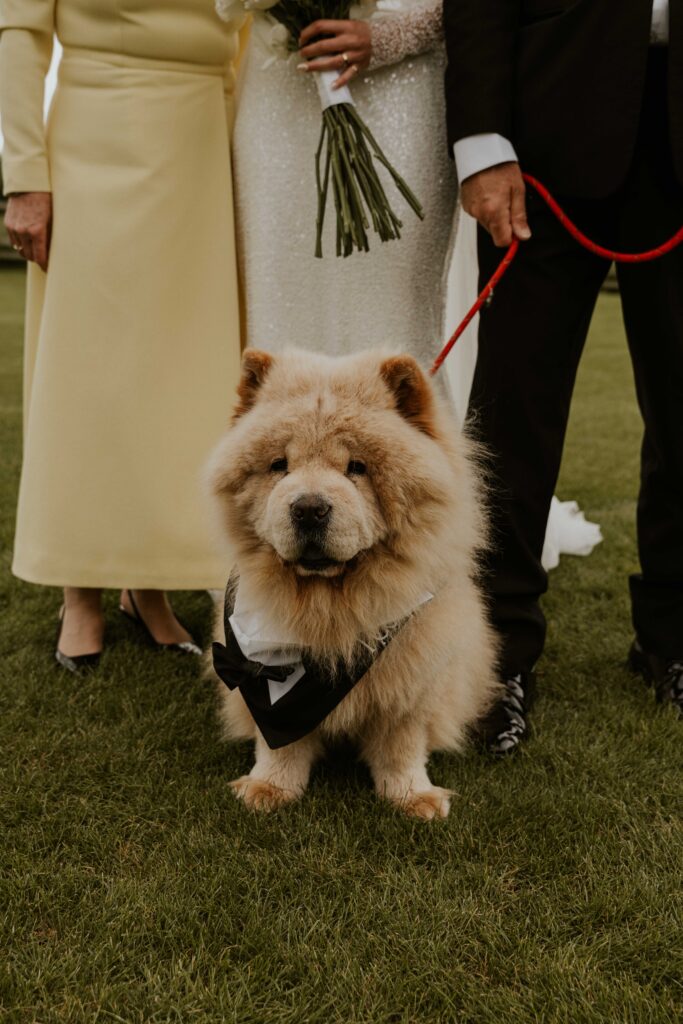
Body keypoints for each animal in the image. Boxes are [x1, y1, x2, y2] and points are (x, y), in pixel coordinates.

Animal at [205, 348, 499, 819]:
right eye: (279, 466)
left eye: (356, 467)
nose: (308, 508)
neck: (331, 612)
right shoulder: (263, 691)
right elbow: (279, 744)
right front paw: (269, 787)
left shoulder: (413, 675)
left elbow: (401, 747)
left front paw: (412, 796)